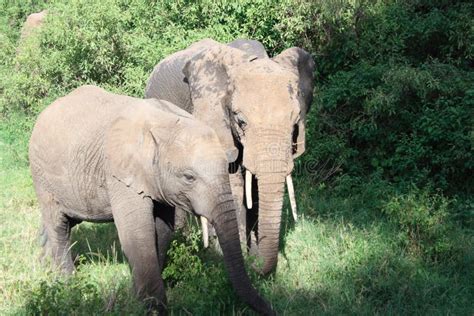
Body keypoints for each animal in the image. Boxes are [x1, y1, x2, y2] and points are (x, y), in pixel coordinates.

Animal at [28, 84, 274, 314]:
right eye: (189, 177)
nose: (272, 308)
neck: (165, 124)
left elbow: (162, 230)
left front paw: (141, 297)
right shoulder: (120, 173)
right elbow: (138, 233)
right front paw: (155, 309)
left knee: (65, 221)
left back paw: (44, 265)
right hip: (41, 173)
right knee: (59, 225)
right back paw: (68, 284)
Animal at [144, 39, 314, 274]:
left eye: (295, 121)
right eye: (240, 121)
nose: (257, 266)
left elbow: (254, 189)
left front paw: (252, 256)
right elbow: (232, 184)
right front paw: (233, 257)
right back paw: (183, 242)